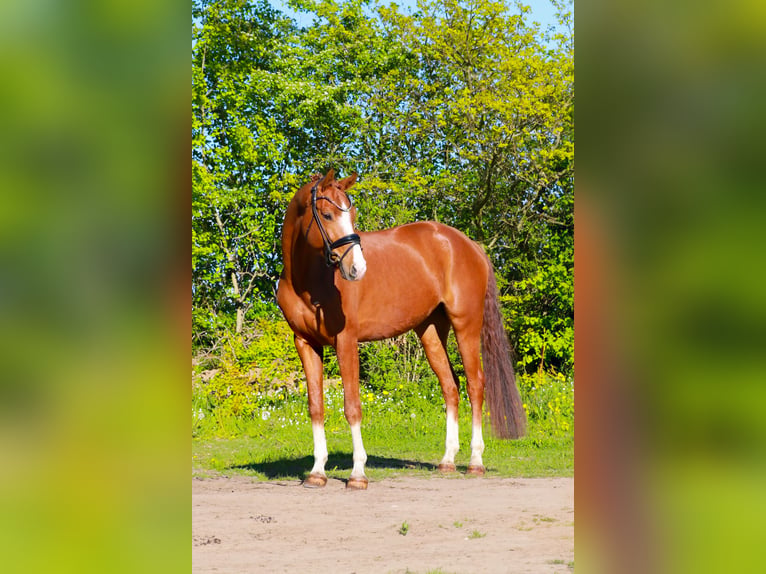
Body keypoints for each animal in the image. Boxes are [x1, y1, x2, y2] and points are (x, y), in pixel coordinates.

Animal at [276, 169, 526, 489]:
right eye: (328, 214)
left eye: (352, 214)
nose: (357, 269)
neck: (309, 280)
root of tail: (469, 245)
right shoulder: (305, 343)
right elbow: (315, 406)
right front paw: (317, 472)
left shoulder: (346, 341)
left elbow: (352, 406)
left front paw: (358, 474)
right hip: (431, 331)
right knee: (450, 386)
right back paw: (447, 460)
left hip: (466, 326)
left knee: (475, 384)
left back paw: (475, 461)